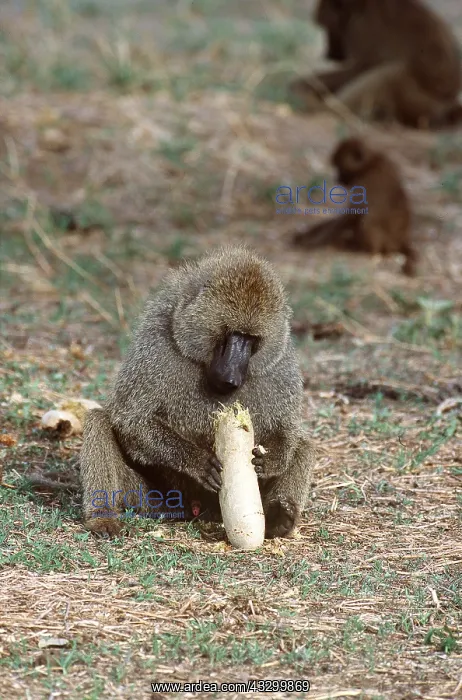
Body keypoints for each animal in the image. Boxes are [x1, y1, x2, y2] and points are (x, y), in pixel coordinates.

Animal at [80, 246, 315, 539]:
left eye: (251, 339)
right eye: (230, 334)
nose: (230, 376)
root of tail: (200, 510)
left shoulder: (280, 364)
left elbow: (288, 429)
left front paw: (271, 462)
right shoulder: (157, 342)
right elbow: (132, 421)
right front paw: (197, 462)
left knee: (305, 445)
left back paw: (279, 518)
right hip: (154, 500)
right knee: (99, 421)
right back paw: (102, 517)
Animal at [290, 0, 462, 129]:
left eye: (327, 27)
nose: (328, 53)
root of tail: (448, 105)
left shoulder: (361, 27)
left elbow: (360, 68)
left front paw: (301, 86)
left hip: (420, 104)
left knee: (391, 72)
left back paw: (323, 108)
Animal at [292, 137, 417, 276]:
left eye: (340, 167)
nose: (338, 178)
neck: (370, 163)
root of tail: (401, 240)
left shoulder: (365, 182)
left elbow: (353, 214)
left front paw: (311, 243)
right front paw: (304, 235)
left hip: (386, 243)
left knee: (367, 221)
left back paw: (356, 246)